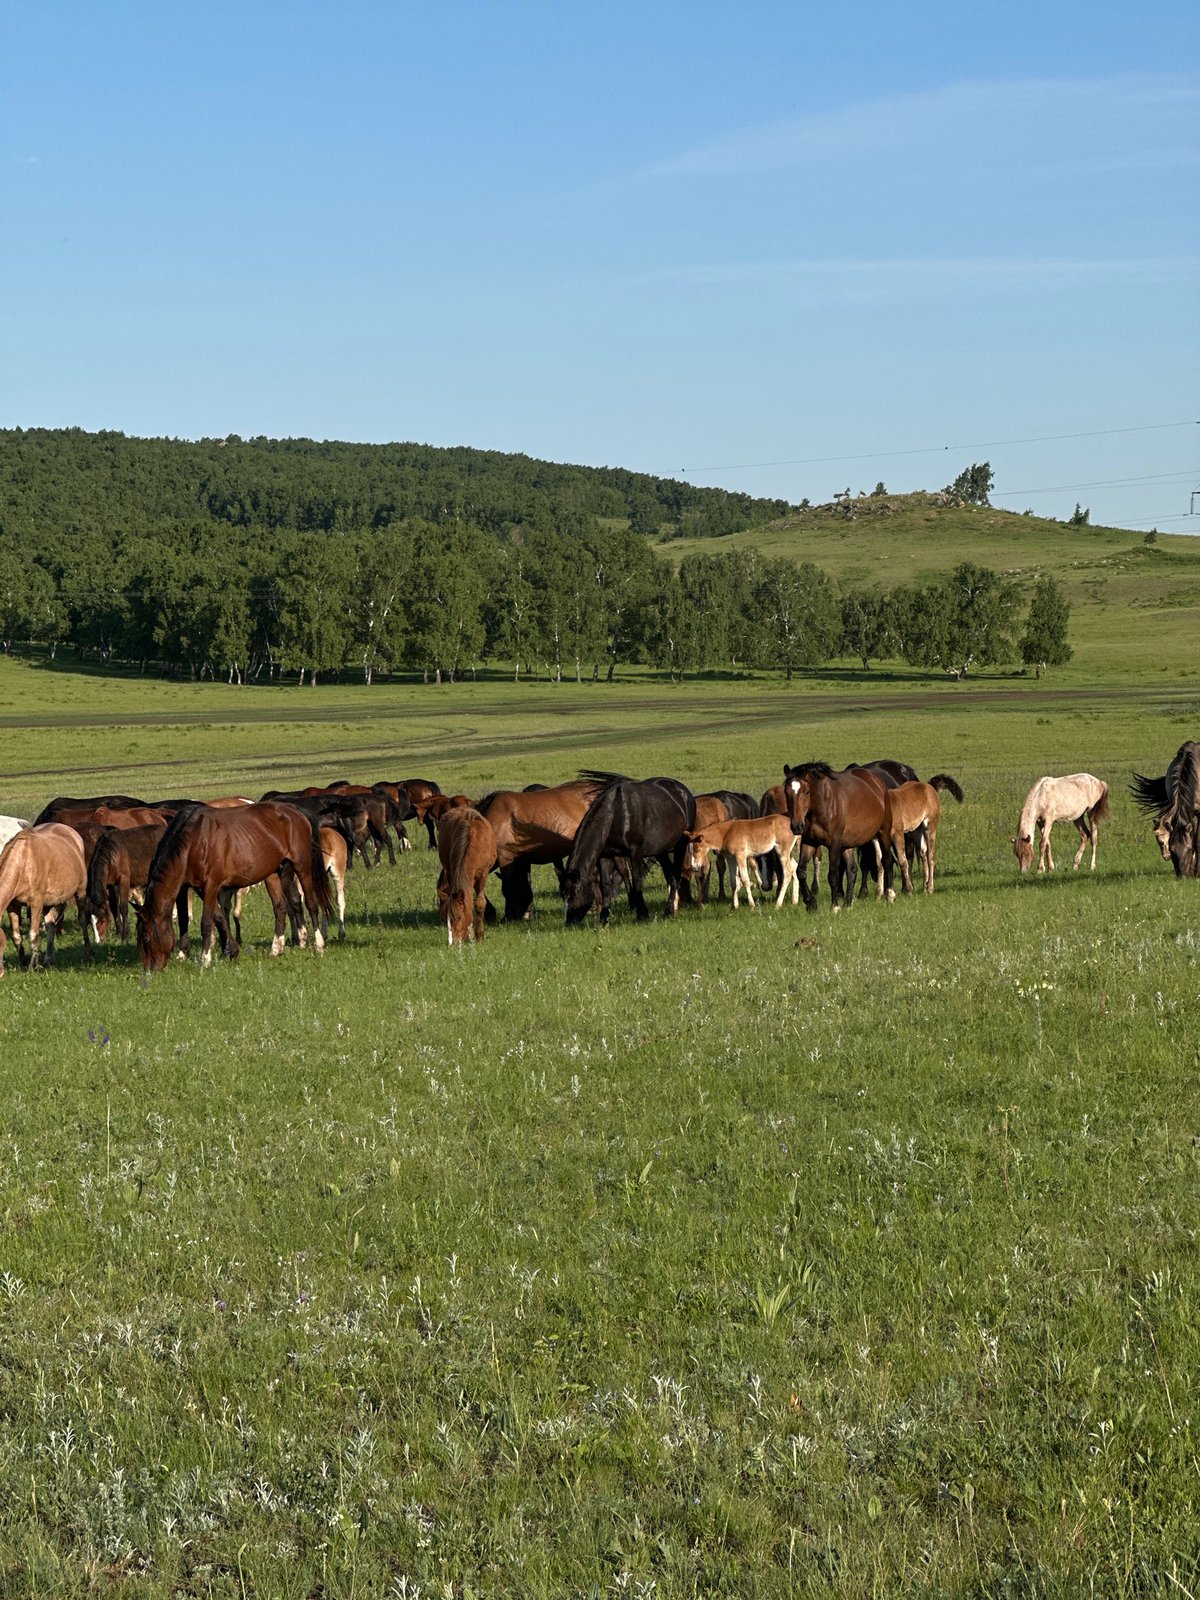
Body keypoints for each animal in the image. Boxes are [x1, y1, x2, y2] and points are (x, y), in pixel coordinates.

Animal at [0, 824, 87, 974]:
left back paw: (89, 952)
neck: (23, 862)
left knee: (82, 921)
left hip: (80, 891)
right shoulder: (12, 905)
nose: (0, 973)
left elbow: (33, 934)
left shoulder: (36, 903)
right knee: (51, 926)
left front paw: (33, 966)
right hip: (50, 902)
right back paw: (48, 959)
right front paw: (24, 961)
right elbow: (16, 935)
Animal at [138, 802, 330, 971]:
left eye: (146, 939)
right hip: (275, 873)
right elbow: (213, 917)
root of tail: (294, 809)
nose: (150, 970)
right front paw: (228, 951)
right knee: (280, 906)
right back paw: (277, 949)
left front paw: (206, 959)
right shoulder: (191, 887)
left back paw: (319, 945)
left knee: (311, 903)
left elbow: (206, 922)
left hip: (302, 865)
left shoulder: (210, 885)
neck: (192, 842)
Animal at [437, 808, 499, 945]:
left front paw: (479, 935)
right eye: (447, 920)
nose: (453, 943)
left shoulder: (483, 876)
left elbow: (479, 903)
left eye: (459, 917)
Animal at [562, 775, 696, 925]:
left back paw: (670, 911)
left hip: (680, 846)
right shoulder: (605, 855)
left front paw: (642, 914)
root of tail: (684, 792)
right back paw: (668, 910)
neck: (616, 813)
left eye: (577, 891)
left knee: (676, 876)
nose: (569, 922)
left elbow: (637, 881)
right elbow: (605, 884)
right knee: (670, 877)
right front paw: (604, 917)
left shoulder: (635, 852)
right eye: (563, 895)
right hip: (661, 851)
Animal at [782, 762, 895, 911]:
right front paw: (811, 903)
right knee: (852, 870)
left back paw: (890, 895)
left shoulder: (834, 845)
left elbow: (833, 875)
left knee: (887, 861)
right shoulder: (809, 842)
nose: (796, 826)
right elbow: (801, 872)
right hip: (848, 844)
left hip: (883, 833)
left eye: (806, 791)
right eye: (786, 792)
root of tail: (877, 782)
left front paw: (834, 906)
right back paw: (847, 904)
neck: (822, 805)